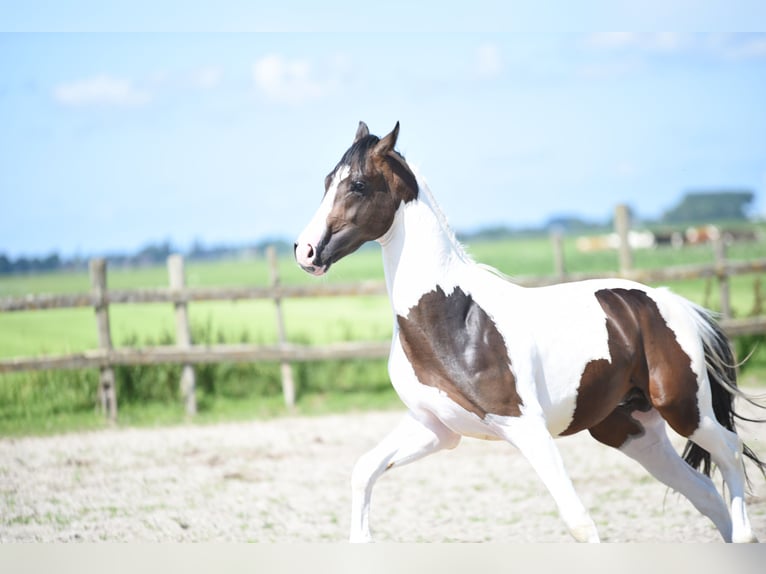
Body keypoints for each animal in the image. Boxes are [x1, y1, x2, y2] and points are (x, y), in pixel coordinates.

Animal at [292, 121, 760, 544]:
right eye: (327, 182)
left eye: (357, 185)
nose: (305, 251)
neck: (453, 317)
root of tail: (671, 303)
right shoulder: (435, 427)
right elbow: (364, 470)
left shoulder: (526, 428)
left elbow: (579, 523)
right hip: (633, 432)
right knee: (704, 492)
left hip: (685, 408)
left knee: (730, 452)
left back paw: (745, 535)